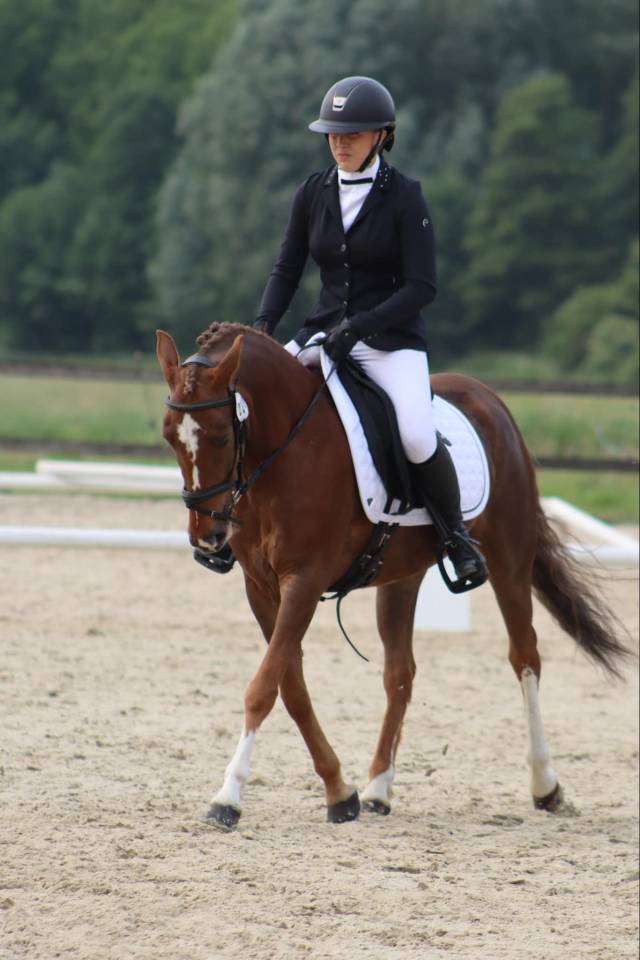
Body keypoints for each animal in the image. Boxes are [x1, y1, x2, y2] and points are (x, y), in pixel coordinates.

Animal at [156, 321, 628, 830]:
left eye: (222, 436)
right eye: (169, 438)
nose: (208, 537)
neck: (287, 449)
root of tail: (490, 398)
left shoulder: (304, 579)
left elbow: (264, 688)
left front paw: (227, 797)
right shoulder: (260, 587)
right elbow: (290, 687)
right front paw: (340, 792)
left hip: (510, 559)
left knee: (525, 657)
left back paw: (546, 785)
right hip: (402, 577)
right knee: (400, 673)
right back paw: (378, 788)